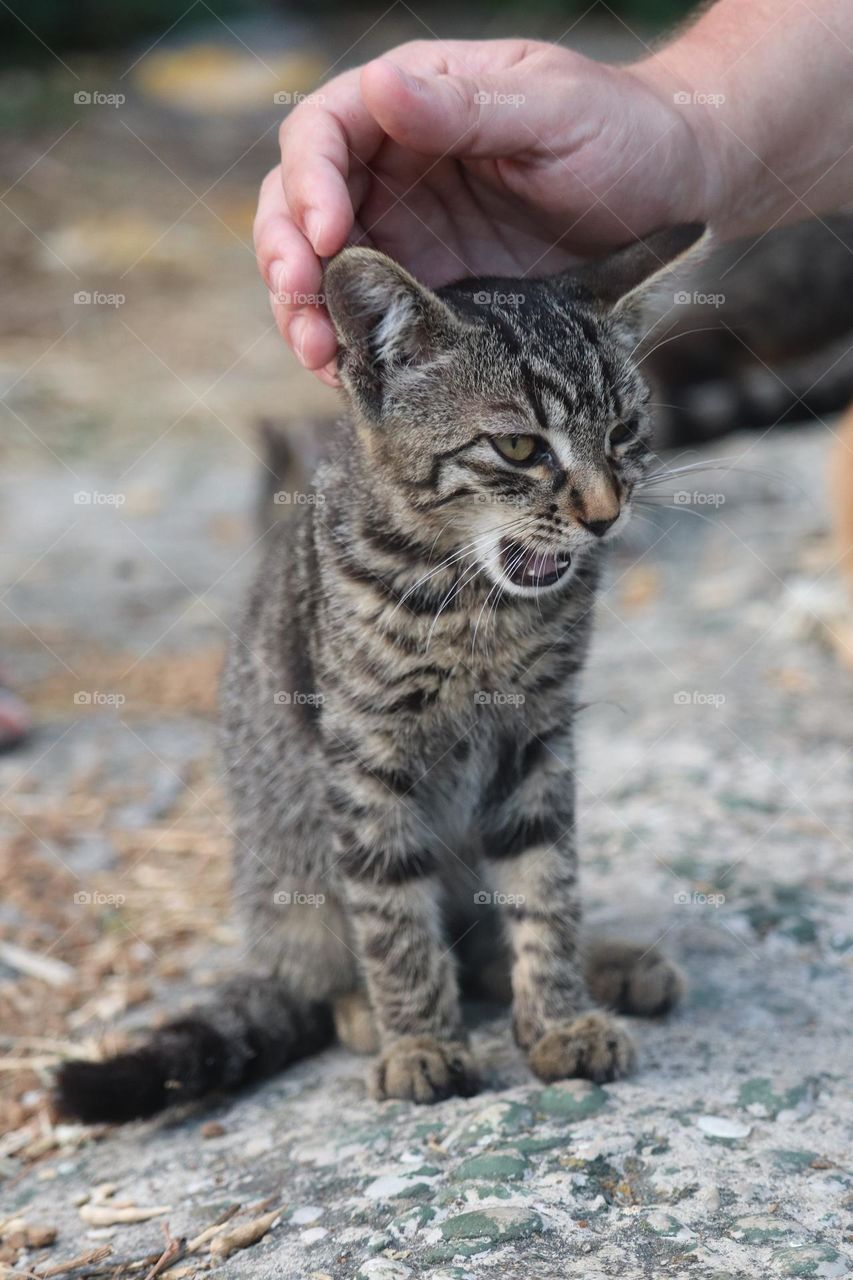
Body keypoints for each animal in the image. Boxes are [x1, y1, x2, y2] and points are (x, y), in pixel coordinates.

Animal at [56, 222, 701, 1121]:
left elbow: (545, 883)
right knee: (333, 962)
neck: (480, 611)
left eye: (624, 431)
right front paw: (420, 1040)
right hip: (287, 857)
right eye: (519, 447)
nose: (605, 516)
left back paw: (607, 966)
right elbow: (393, 912)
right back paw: (363, 1009)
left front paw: (559, 1016)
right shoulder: (366, 754)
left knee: (482, 943)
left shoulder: (536, 738)